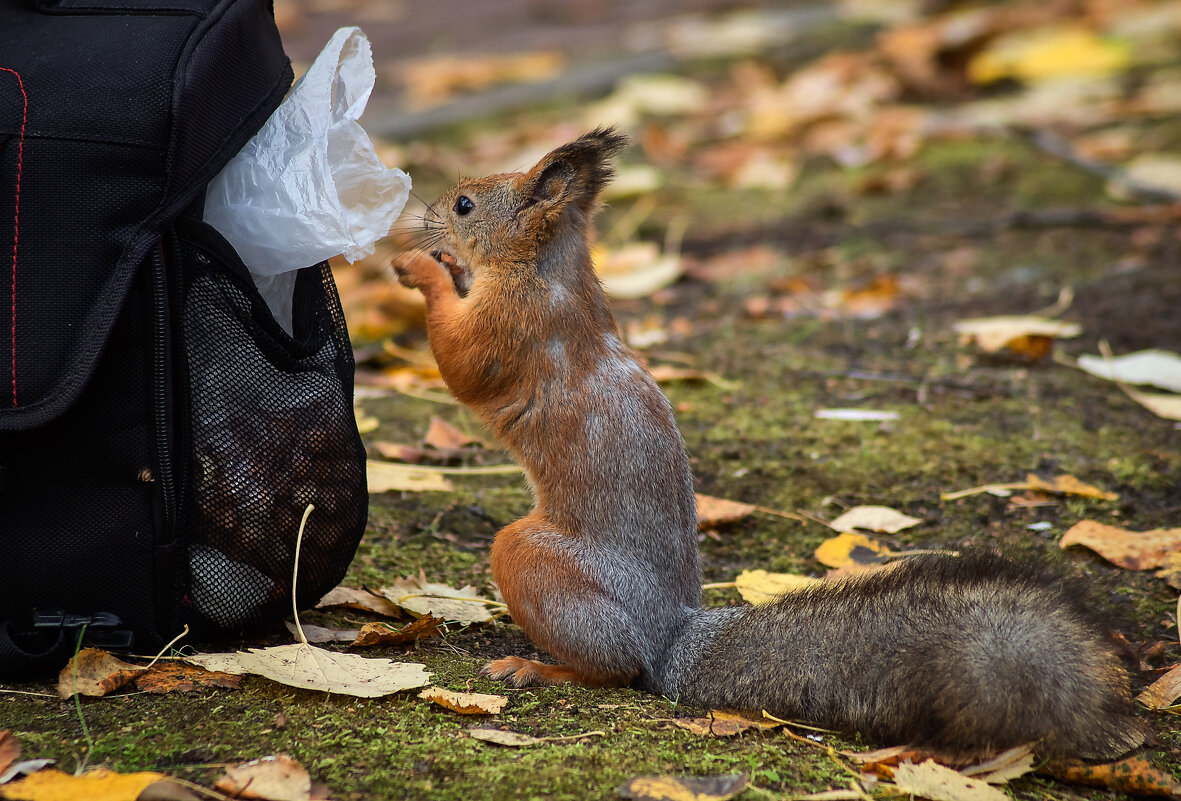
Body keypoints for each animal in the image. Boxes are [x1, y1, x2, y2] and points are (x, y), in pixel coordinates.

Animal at [394, 128, 1143, 760]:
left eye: (464, 204)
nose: (423, 216)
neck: (547, 268)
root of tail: (670, 637)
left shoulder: (511, 326)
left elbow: (462, 361)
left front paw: (421, 266)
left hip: (535, 558)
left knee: (614, 668)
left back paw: (534, 665)